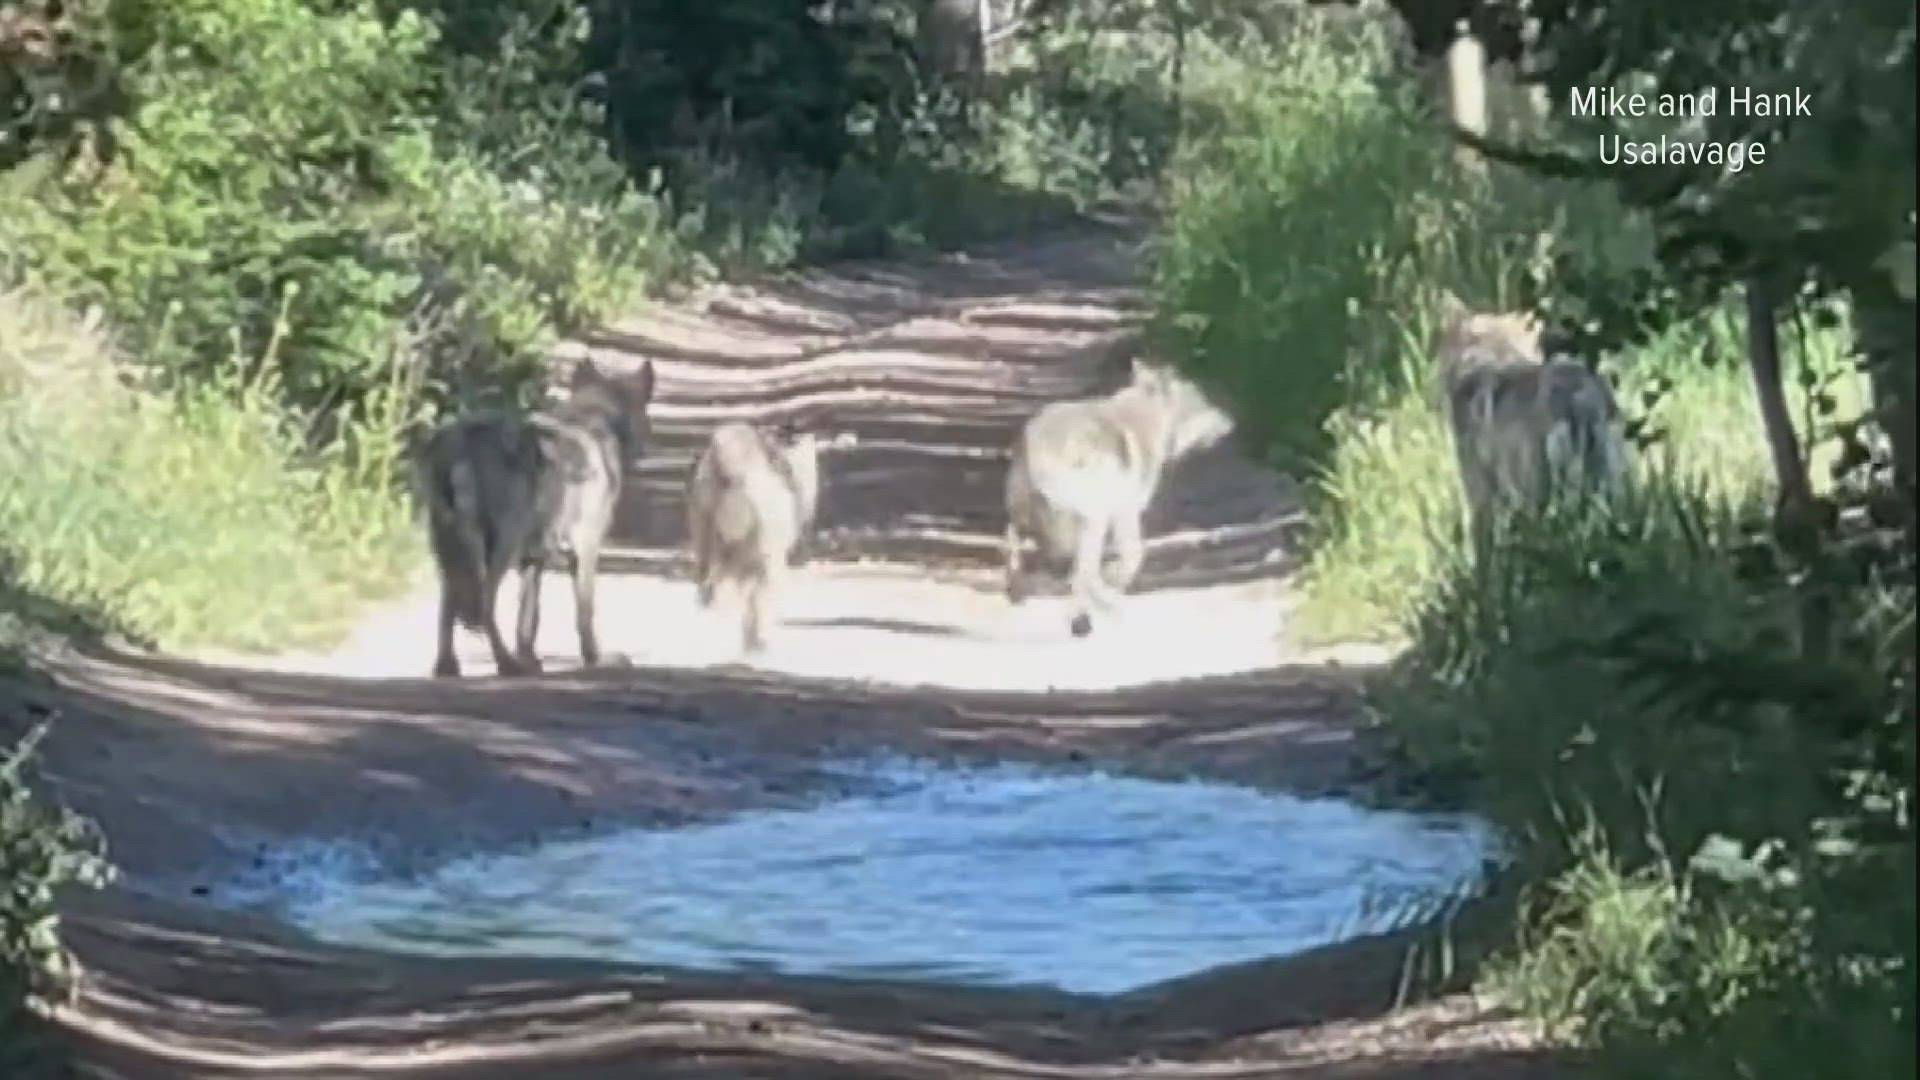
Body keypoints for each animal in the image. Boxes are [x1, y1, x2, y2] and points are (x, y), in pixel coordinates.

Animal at [408, 353, 656, 672]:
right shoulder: (586, 548)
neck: (596, 419)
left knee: (449, 605)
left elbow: (528, 618)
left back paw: (449, 667)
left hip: (449, 547)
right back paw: (507, 664)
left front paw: (530, 658)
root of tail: (462, 440)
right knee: (484, 603)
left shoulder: (534, 557)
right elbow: (585, 613)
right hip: (501, 545)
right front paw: (596, 659)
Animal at [687, 418, 821, 657]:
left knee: (709, 588)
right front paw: (755, 641)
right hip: (766, 546)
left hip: (703, 529)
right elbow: (756, 596)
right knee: (758, 590)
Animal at [998, 357, 1236, 634]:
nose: (1231, 422)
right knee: (1082, 574)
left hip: (1025, 519)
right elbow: (1134, 555)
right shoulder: (1127, 512)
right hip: (1092, 520)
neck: (1149, 416)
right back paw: (1092, 613)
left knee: (1017, 548)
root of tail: (1035, 450)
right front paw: (1115, 580)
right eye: (1203, 400)